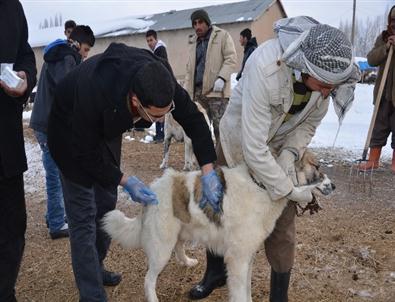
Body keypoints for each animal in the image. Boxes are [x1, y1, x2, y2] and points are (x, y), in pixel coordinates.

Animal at [102, 151, 334, 302]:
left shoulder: (247, 257)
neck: (263, 187)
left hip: (180, 232)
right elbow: (240, 294)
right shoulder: (238, 259)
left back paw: (187, 261)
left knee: (178, 247)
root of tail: (152, 190)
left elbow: (246, 289)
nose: (333, 185)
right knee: (149, 280)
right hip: (161, 249)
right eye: (317, 167)